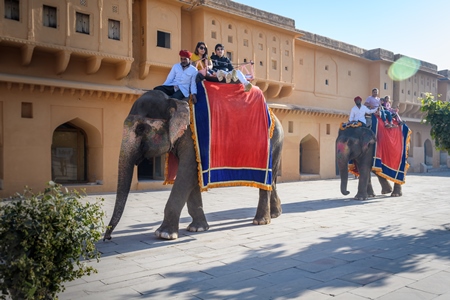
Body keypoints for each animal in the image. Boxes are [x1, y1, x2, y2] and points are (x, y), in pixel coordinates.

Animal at [103, 90, 284, 240]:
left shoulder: (191, 139)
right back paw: (275, 214)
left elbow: (186, 173)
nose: (107, 238)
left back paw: (260, 221)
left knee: (267, 182)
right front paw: (197, 229)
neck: (173, 101)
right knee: (272, 181)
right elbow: (192, 177)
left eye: (140, 128)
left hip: (273, 141)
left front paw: (164, 235)